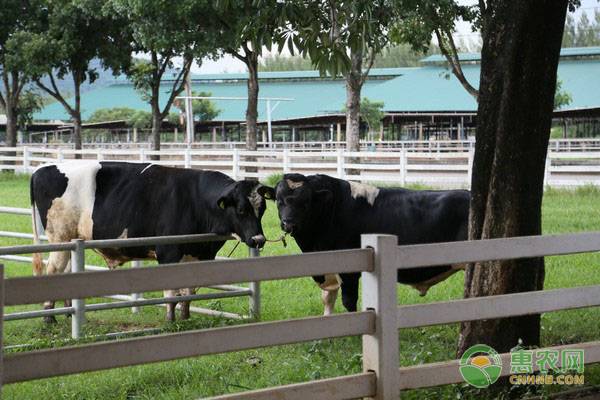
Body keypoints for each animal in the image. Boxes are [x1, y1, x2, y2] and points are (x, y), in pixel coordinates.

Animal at [31, 161, 276, 320]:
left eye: (262, 209)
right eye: (242, 210)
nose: (258, 239)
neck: (195, 200)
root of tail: (41, 169)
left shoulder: (198, 255)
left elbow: (187, 292)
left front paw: (186, 317)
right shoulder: (168, 253)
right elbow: (171, 293)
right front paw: (170, 320)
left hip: (70, 240)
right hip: (59, 237)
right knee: (53, 270)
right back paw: (49, 316)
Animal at [274, 175, 472, 316]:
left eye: (305, 202)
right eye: (278, 201)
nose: (288, 223)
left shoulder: (350, 271)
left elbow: (349, 301)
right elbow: (328, 299)